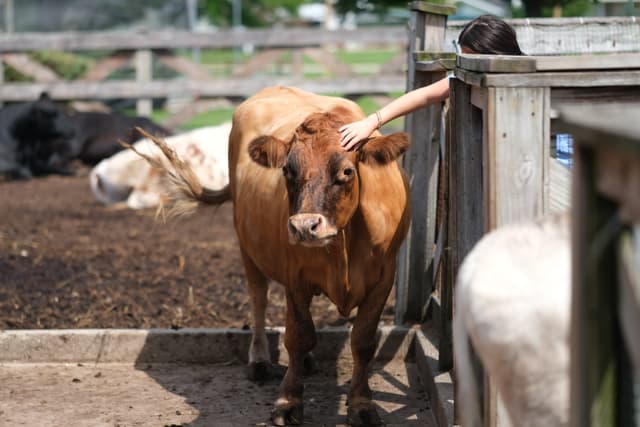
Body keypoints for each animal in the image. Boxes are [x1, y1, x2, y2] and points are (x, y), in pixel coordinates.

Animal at [134, 85, 412, 426]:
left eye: (346, 171)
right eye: (288, 170)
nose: (305, 226)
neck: (345, 247)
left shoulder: (384, 278)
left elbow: (362, 341)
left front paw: (361, 405)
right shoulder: (295, 277)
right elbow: (297, 335)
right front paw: (288, 402)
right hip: (246, 246)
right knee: (259, 299)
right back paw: (259, 360)